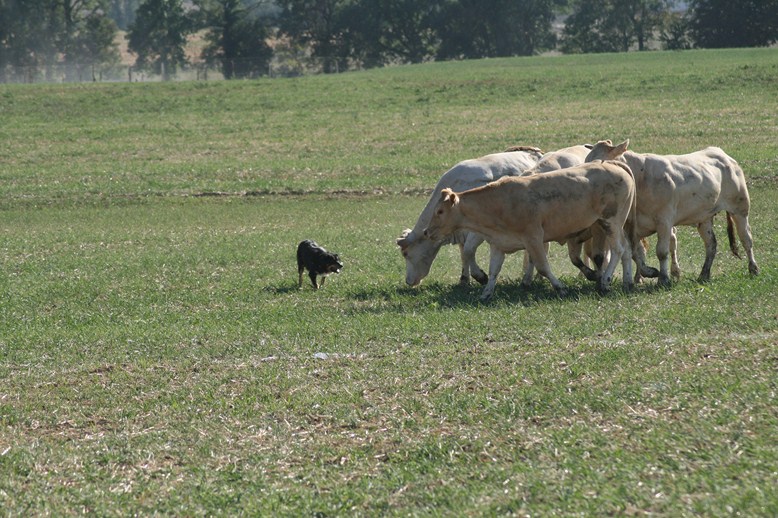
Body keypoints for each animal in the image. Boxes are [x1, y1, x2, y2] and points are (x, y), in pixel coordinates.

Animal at [394, 147, 540, 288]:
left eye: (405, 253)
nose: (408, 281)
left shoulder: (479, 230)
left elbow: (468, 250)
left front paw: (481, 277)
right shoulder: (459, 231)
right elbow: (463, 253)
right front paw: (464, 279)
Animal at [422, 161, 632, 300]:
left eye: (440, 211)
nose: (426, 232)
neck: (499, 204)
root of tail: (614, 165)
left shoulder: (533, 238)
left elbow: (543, 266)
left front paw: (560, 287)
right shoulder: (498, 244)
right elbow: (493, 271)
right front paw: (486, 293)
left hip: (611, 221)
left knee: (618, 249)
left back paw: (605, 281)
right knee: (626, 249)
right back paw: (627, 282)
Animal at [584, 140, 756, 286]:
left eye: (599, 162)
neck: (640, 178)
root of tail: (723, 155)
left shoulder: (664, 222)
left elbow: (661, 251)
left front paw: (664, 279)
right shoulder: (631, 226)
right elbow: (634, 252)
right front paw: (648, 272)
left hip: (740, 208)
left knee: (746, 239)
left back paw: (753, 268)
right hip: (704, 217)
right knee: (711, 244)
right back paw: (704, 274)